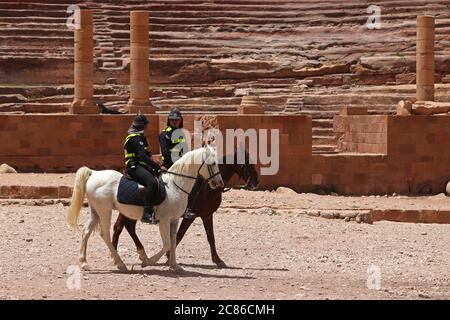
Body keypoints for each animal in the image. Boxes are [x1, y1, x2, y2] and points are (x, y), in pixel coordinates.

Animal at [66, 145, 223, 272]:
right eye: (213, 163)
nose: (219, 183)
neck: (175, 185)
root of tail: (94, 173)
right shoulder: (164, 221)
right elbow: (167, 244)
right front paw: (149, 261)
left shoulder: (174, 220)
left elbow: (173, 241)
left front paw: (174, 265)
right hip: (105, 211)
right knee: (105, 234)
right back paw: (121, 263)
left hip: (96, 212)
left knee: (86, 232)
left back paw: (84, 263)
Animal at [112, 150, 260, 268]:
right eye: (248, 163)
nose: (256, 183)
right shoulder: (190, 216)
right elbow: (180, 235)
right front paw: (168, 257)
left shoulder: (206, 215)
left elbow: (210, 237)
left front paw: (218, 260)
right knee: (120, 227)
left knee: (127, 227)